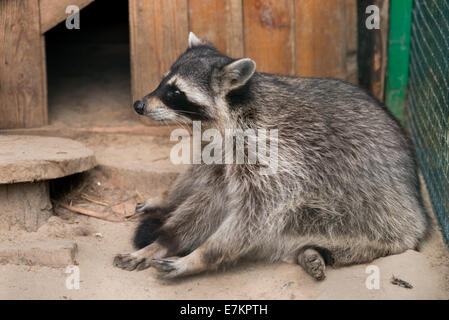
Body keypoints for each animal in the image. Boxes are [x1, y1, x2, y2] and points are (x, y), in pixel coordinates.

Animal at [114, 31, 428, 278]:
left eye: (175, 92)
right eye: (162, 83)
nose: (139, 105)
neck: (233, 109)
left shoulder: (269, 149)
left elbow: (257, 210)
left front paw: (200, 255)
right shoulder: (219, 151)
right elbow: (204, 185)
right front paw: (167, 218)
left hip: (377, 220)